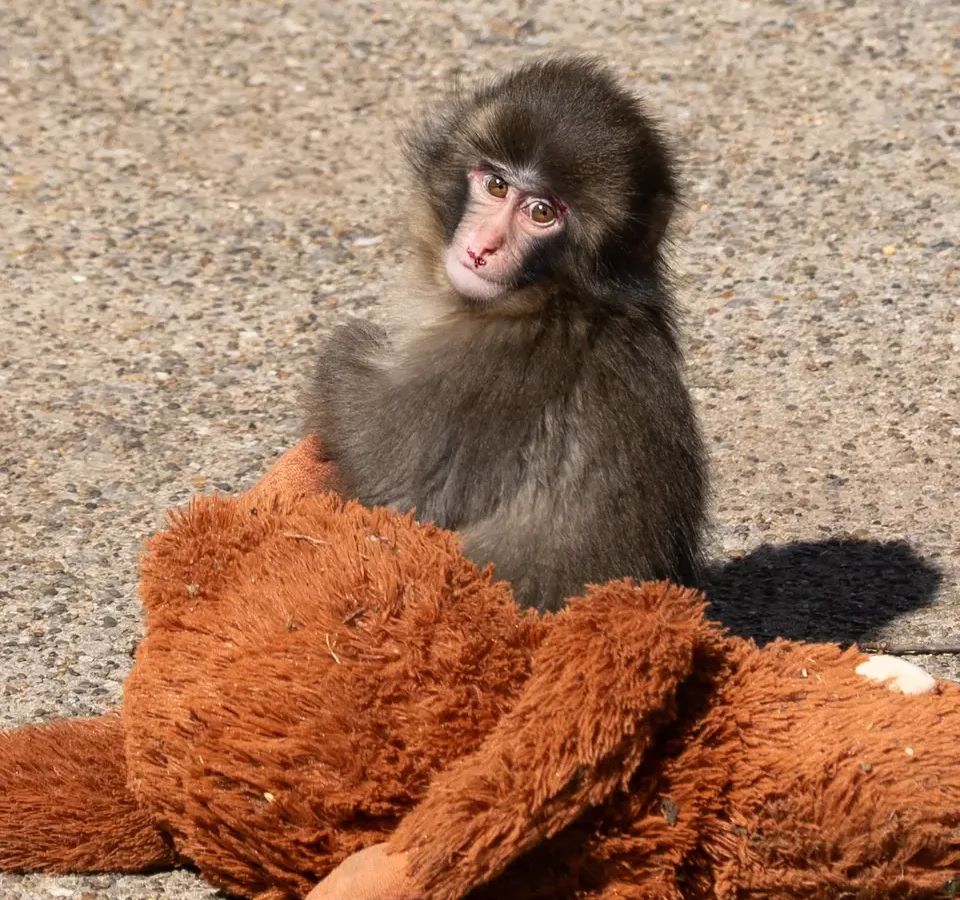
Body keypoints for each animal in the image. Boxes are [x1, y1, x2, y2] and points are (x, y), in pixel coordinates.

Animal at [305, 57, 709, 613]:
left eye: (542, 212)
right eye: (496, 186)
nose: (483, 247)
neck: (555, 298)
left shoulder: (480, 370)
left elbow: (389, 489)